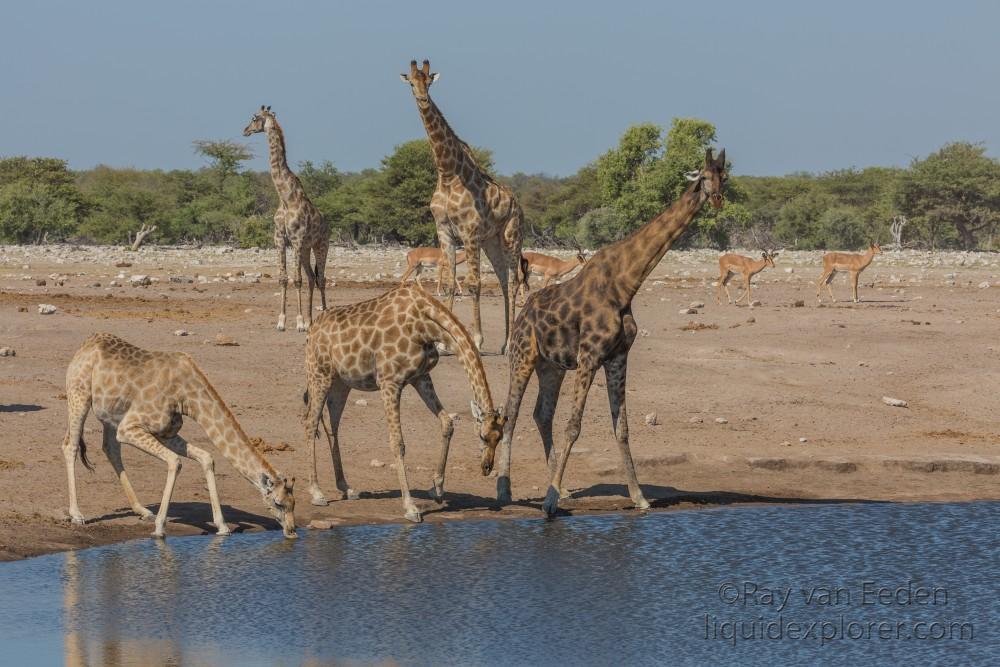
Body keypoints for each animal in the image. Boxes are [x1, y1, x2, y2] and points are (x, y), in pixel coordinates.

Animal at [61, 332, 296, 536]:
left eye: (294, 503)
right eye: (278, 503)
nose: (292, 531)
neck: (187, 396)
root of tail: (86, 345)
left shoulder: (166, 432)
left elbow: (207, 458)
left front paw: (222, 527)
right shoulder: (130, 427)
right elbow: (175, 462)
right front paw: (159, 529)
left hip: (110, 414)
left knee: (110, 448)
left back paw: (141, 510)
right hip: (79, 395)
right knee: (70, 444)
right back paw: (77, 515)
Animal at [243, 105, 330, 332]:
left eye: (254, 118)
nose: (245, 130)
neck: (285, 197)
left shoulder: (297, 240)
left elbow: (296, 279)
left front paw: (298, 322)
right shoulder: (280, 240)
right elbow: (283, 278)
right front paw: (282, 321)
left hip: (321, 245)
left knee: (321, 278)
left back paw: (322, 316)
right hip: (306, 249)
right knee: (312, 277)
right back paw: (310, 320)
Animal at [302, 284, 508, 520]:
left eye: (499, 438)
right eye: (482, 436)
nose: (486, 467)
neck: (425, 324)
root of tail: (311, 331)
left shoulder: (421, 377)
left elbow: (447, 423)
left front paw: (437, 489)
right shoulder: (389, 382)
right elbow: (397, 443)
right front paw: (410, 507)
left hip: (341, 383)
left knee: (331, 426)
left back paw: (346, 487)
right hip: (319, 375)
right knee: (310, 423)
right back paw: (317, 492)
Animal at [400, 60, 528, 358]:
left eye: (429, 81)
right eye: (411, 82)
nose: (422, 99)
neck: (447, 174)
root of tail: (517, 203)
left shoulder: (469, 233)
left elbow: (473, 284)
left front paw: (477, 340)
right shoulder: (445, 232)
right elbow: (449, 283)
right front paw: (444, 342)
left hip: (511, 236)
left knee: (514, 281)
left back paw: (509, 344)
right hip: (491, 241)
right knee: (503, 282)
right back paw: (504, 342)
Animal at [496, 150, 732, 516]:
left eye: (725, 177)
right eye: (704, 177)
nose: (718, 198)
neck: (626, 285)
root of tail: (522, 315)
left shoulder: (618, 356)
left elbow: (621, 428)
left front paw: (639, 497)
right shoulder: (590, 355)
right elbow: (574, 426)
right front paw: (548, 501)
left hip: (552, 366)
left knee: (541, 414)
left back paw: (562, 488)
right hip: (523, 356)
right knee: (511, 413)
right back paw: (505, 490)